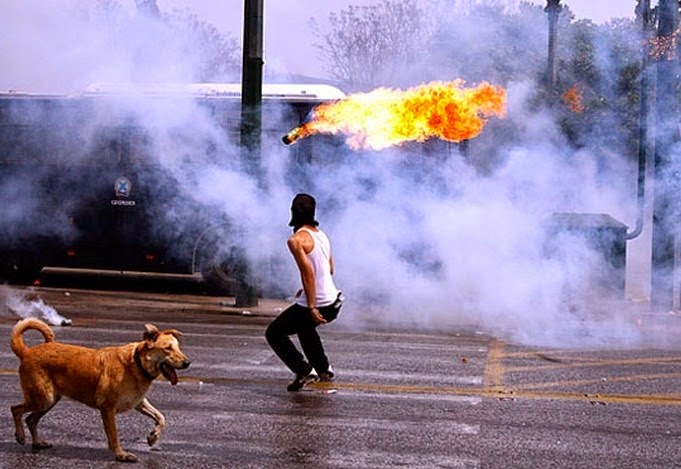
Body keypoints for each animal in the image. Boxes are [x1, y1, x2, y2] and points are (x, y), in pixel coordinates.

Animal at [9, 318, 191, 460]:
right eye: (168, 348)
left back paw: (37, 442)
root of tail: (27, 352)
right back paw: (20, 436)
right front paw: (121, 455)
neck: (136, 364)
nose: (188, 363)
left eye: (178, 347)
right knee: (15, 409)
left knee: (30, 419)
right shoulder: (108, 408)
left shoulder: (138, 402)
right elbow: (114, 435)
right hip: (43, 398)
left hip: (50, 400)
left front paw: (153, 437)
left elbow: (161, 417)